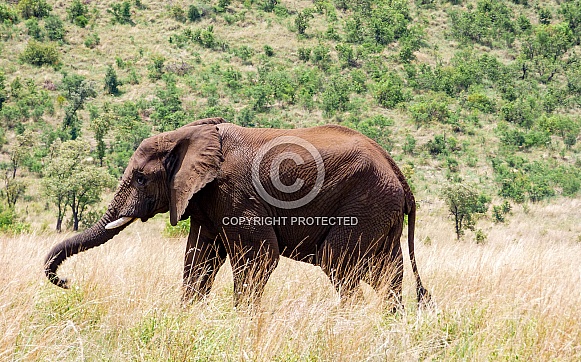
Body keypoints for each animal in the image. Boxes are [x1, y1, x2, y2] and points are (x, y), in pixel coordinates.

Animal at [45, 117, 428, 306]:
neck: (189, 135)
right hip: (380, 211)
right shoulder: (205, 199)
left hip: (364, 204)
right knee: (386, 274)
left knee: (339, 262)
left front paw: (241, 320)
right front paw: (187, 317)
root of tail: (399, 175)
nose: (67, 281)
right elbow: (198, 260)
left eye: (140, 178)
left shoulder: (236, 196)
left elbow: (258, 258)